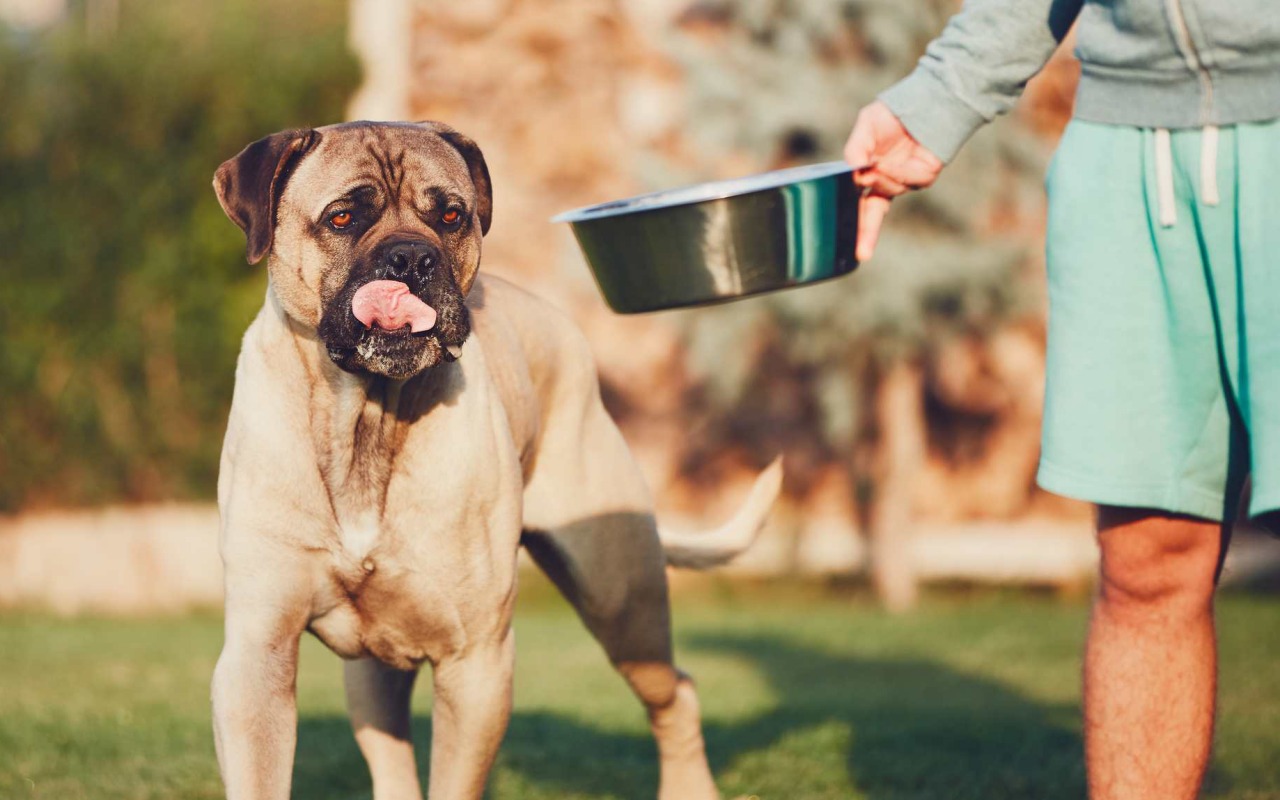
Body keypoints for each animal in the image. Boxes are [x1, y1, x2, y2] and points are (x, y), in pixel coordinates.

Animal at [209, 120, 778, 798]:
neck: (366, 420)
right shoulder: (258, 655)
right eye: (343, 216)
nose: (412, 258)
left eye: (451, 215)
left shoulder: (476, 661)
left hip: (621, 602)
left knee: (675, 694)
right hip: (376, 666)